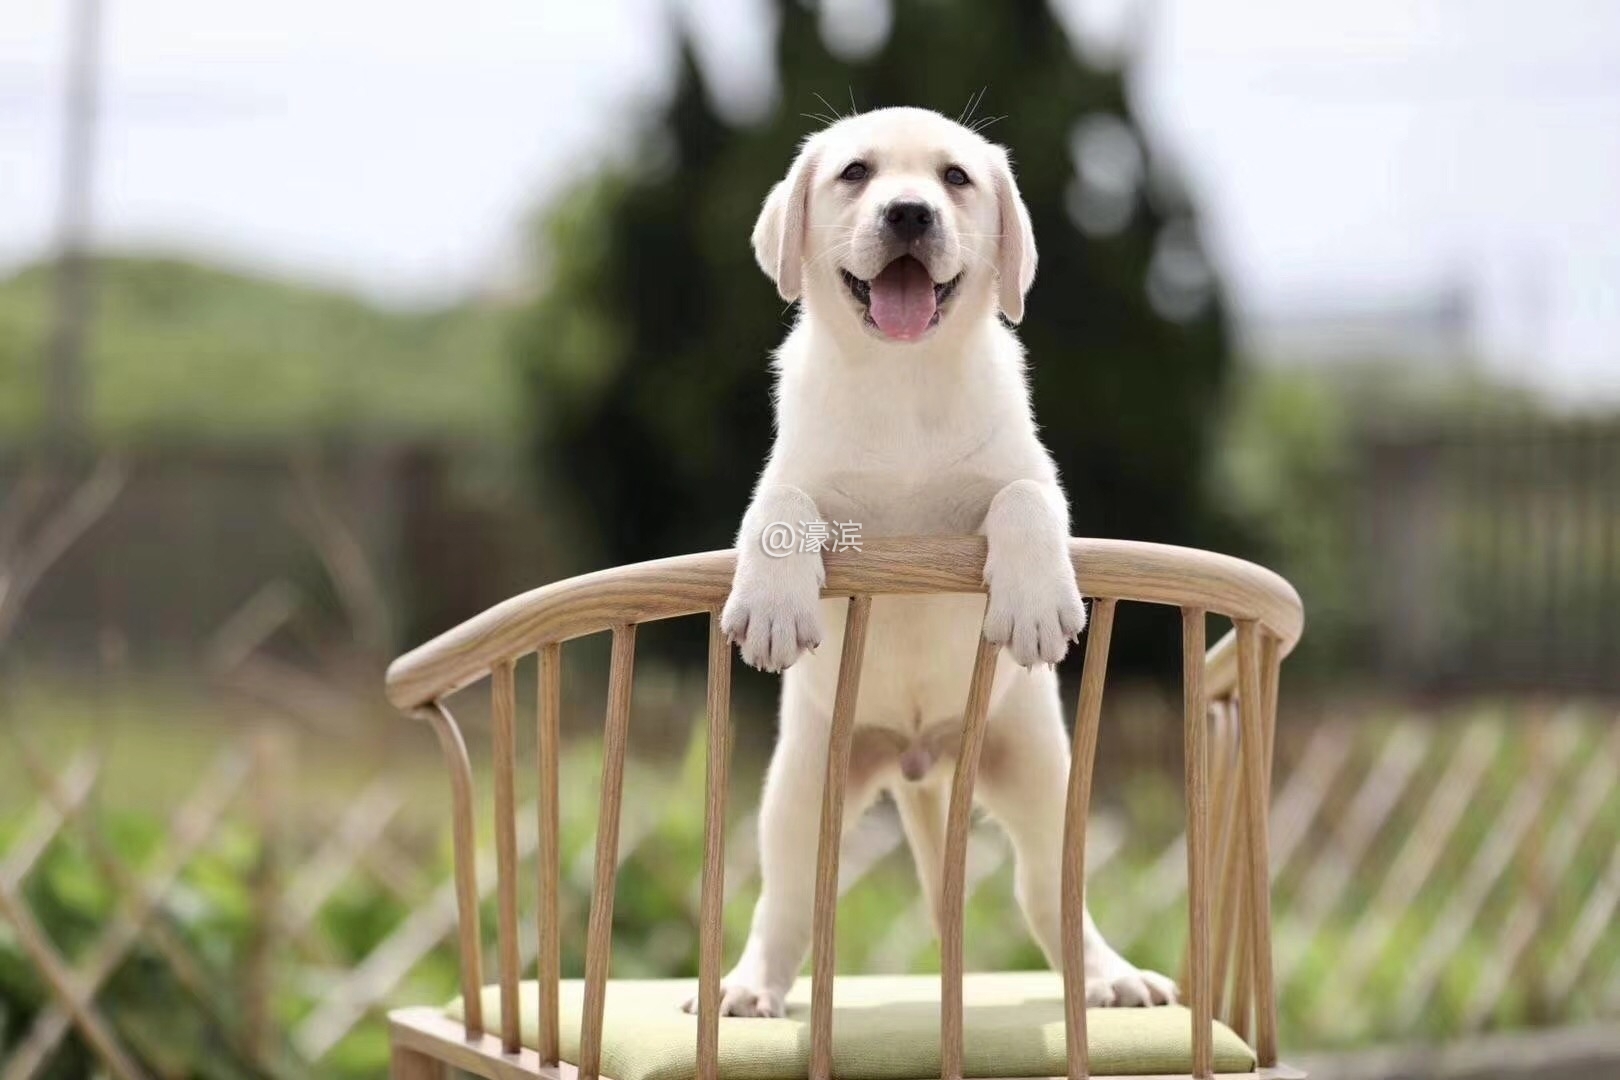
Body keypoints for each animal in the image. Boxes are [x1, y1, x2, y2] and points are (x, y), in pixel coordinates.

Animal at [690, 110, 1172, 1023]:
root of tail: (918, 758)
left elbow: (1024, 501)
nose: (909, 213)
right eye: (855, 173)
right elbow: (782, 511)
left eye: (955, 178)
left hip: (1039, 771)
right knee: (788, 900)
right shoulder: (791, 477)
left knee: (1048, 893)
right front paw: (772, 604)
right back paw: (750, 985)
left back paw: (1108, 974)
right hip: (800, 787)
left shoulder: (1031, 475)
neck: (903, 376)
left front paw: (1034, 602)